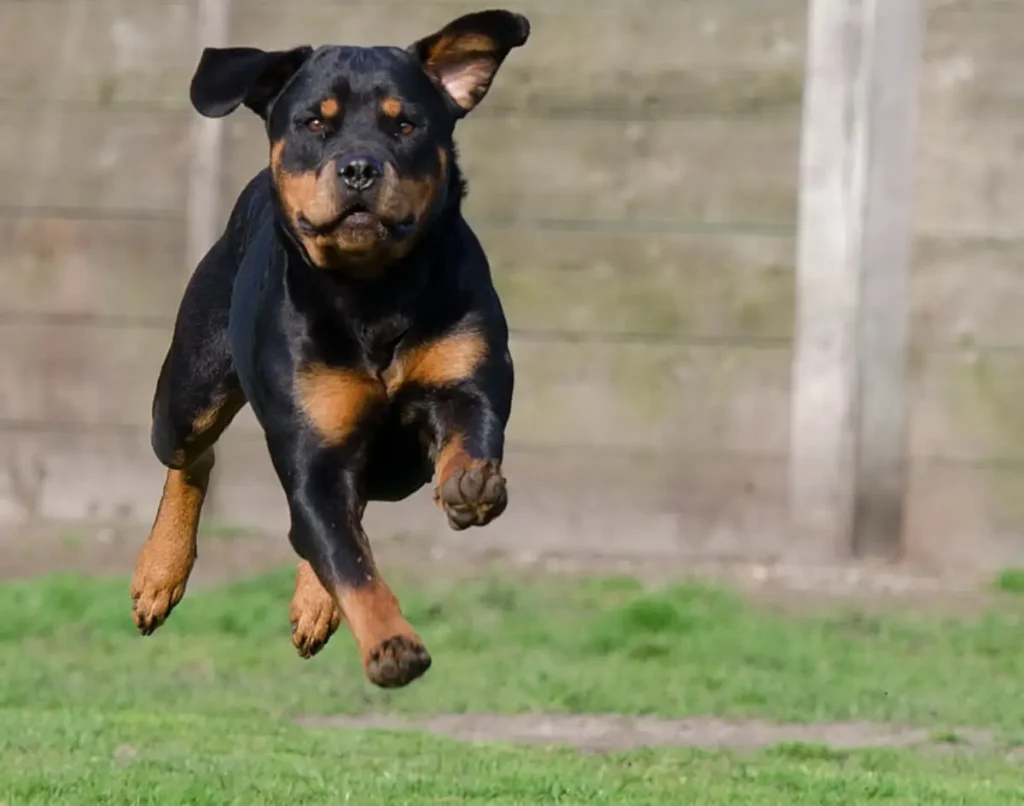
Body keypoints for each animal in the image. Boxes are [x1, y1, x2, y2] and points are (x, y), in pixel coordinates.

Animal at [128, 9, 528, 692]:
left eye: (405, 123)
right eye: (315, 121)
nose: (360, 167)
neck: (373, 292)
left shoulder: (468, 374)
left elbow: (469, 430)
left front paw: (469, 482)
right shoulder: (312, 443)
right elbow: (346, 558)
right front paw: (393, 645)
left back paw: (312, 603)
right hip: (187, 394)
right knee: (195, 457)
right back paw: (159, 575)